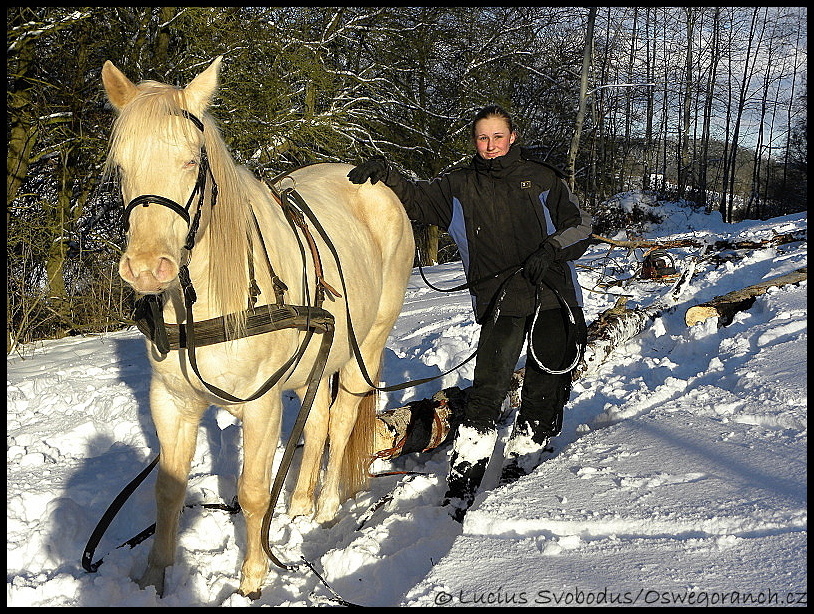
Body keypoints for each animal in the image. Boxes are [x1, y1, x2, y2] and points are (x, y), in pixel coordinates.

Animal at [103, 56, 418, 596]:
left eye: (193, 160)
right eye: (122, 164)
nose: (146, 268)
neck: (205, 302)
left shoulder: (261, 404)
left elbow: (252, 491)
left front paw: (253, 575)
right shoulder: (171, 402)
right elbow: (168, 490)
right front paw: (154, 576)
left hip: (367, 347)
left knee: (340, 421)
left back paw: (326, 506)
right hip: (316, 360)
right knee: (315, 423)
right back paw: (299, 502)